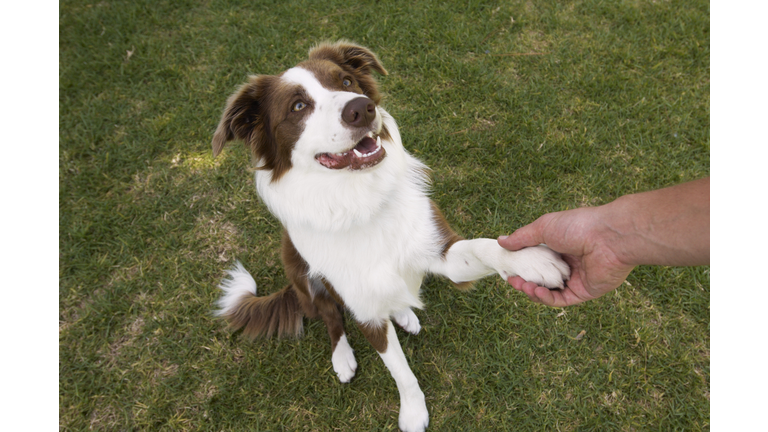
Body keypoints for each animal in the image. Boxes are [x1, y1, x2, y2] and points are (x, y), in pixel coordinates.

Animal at [212, 41, 568, 432]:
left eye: (347, 80)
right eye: (298, 107)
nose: (360, 107)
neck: (359, 201)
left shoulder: (441, 249)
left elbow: (484, 246)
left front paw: (530, 259)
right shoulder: (365, 309)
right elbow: (399, 370)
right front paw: (412, 412)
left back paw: (404, 312)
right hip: (299, 270)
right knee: (329, 316)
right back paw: (343, 356)